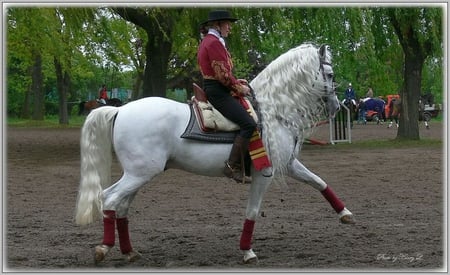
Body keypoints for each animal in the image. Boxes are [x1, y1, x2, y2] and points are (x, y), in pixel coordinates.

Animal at [74, 43, 356, 266]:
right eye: (330, 74)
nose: (336, 107)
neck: (273, 110)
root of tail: (120, 110)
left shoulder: (287, 164)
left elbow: (318, 181)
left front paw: (345, 214)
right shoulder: (265, 173)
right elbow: (252, 211)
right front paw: (247, 251)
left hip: (138, 174)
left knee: (121, 206)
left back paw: (130, 252)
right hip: (139, 174)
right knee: (109, 199)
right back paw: (103, 249)